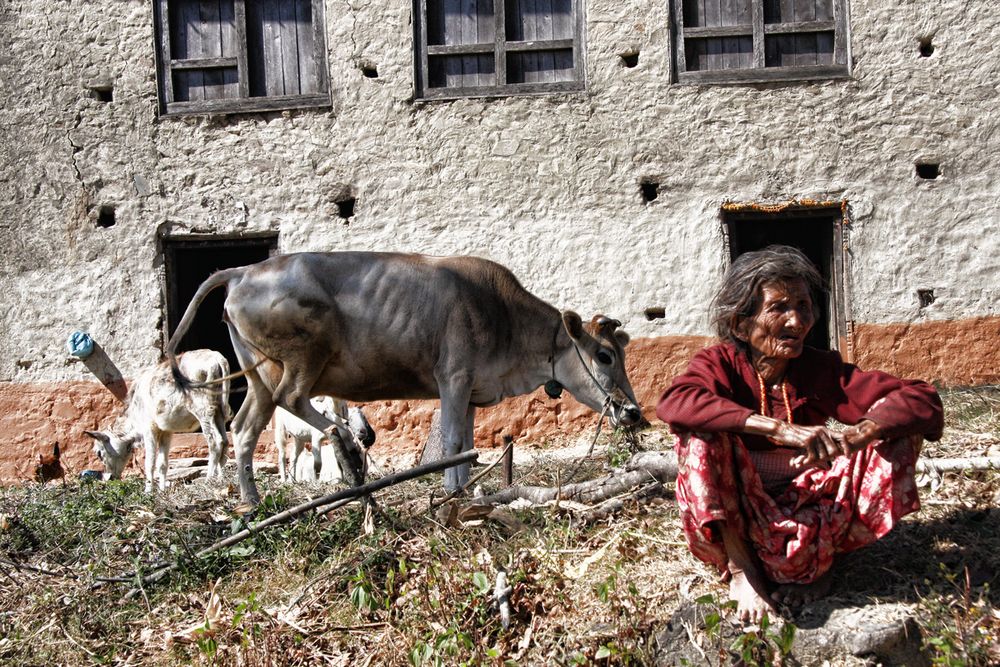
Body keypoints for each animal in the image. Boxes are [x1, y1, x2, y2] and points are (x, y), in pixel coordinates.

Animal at [84, 350, 232, 490]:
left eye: (99, 453)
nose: (108, 478)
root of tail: (217, 358)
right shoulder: (166, 431)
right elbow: (162, 464)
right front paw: (162, 489)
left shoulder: (149, 428)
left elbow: (150, 463)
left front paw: (148, 490)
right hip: (218, 410)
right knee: (224, 441)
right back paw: (221, 480)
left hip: (203, 410)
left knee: (214, 442)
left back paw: (208, 480)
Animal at [168, 253, 640, 504]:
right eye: (603, 355)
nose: (634, 412)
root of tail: (243, 270)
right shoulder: (454, 377)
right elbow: (452, 442)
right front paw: (451, 494)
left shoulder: (472, 392)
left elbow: (466, 445)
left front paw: (464, 492)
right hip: (300, 359)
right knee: (294, 399)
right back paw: (344, 438)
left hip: (259, 376)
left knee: (244, 430)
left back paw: (253, 502)